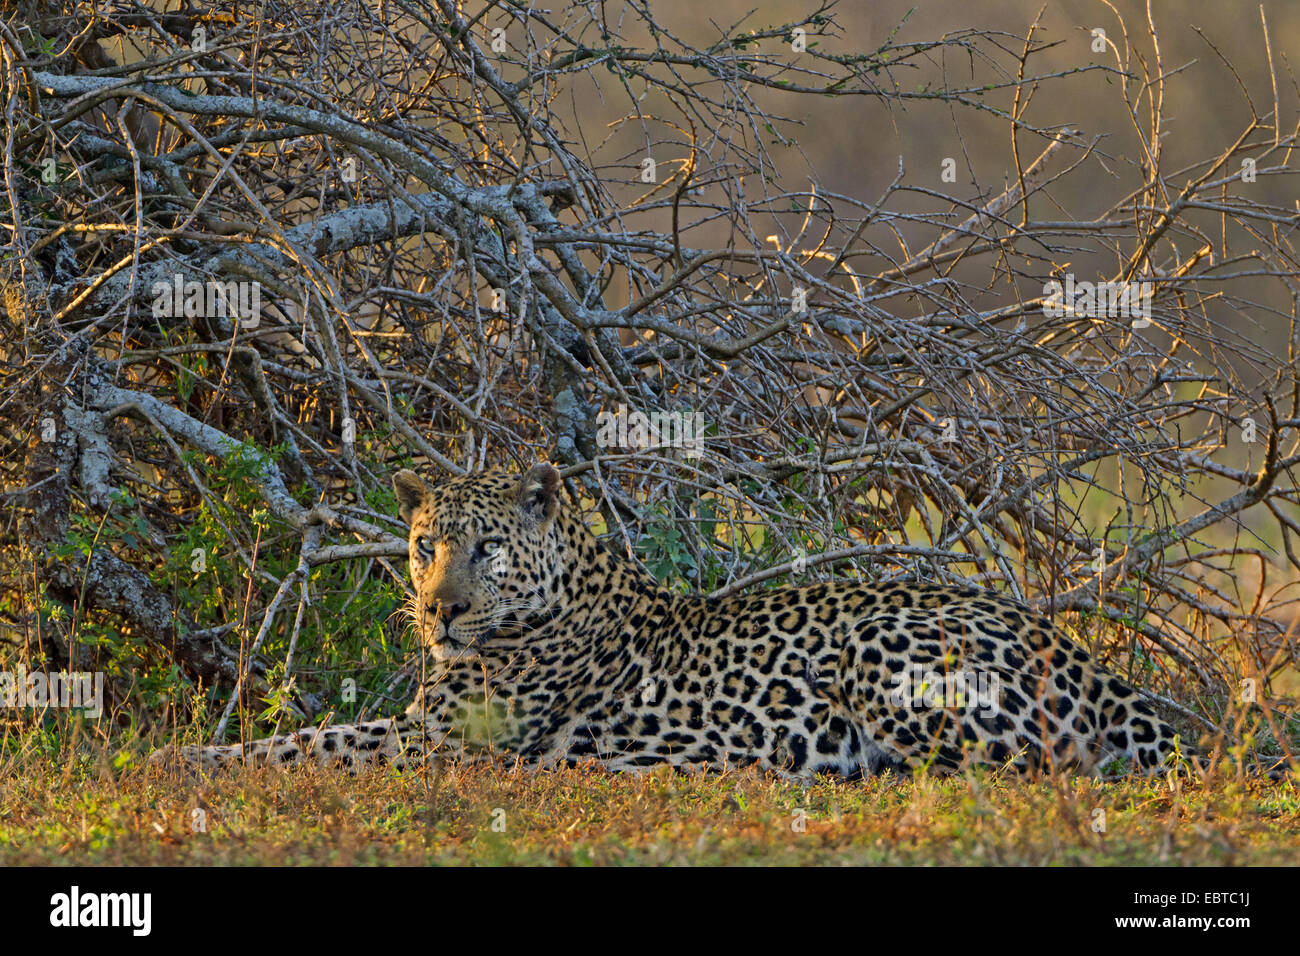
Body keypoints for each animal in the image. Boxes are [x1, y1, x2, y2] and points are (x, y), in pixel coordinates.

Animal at [152, 463, 1190, 780]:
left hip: (882, 659)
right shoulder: (424, 727)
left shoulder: (443, 743)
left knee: (1040, 769)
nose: (439, 610)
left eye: (486, 549)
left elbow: (307, 744)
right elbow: (310, 736)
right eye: (422, 545)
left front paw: (181, 759)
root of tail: (1072, 647)